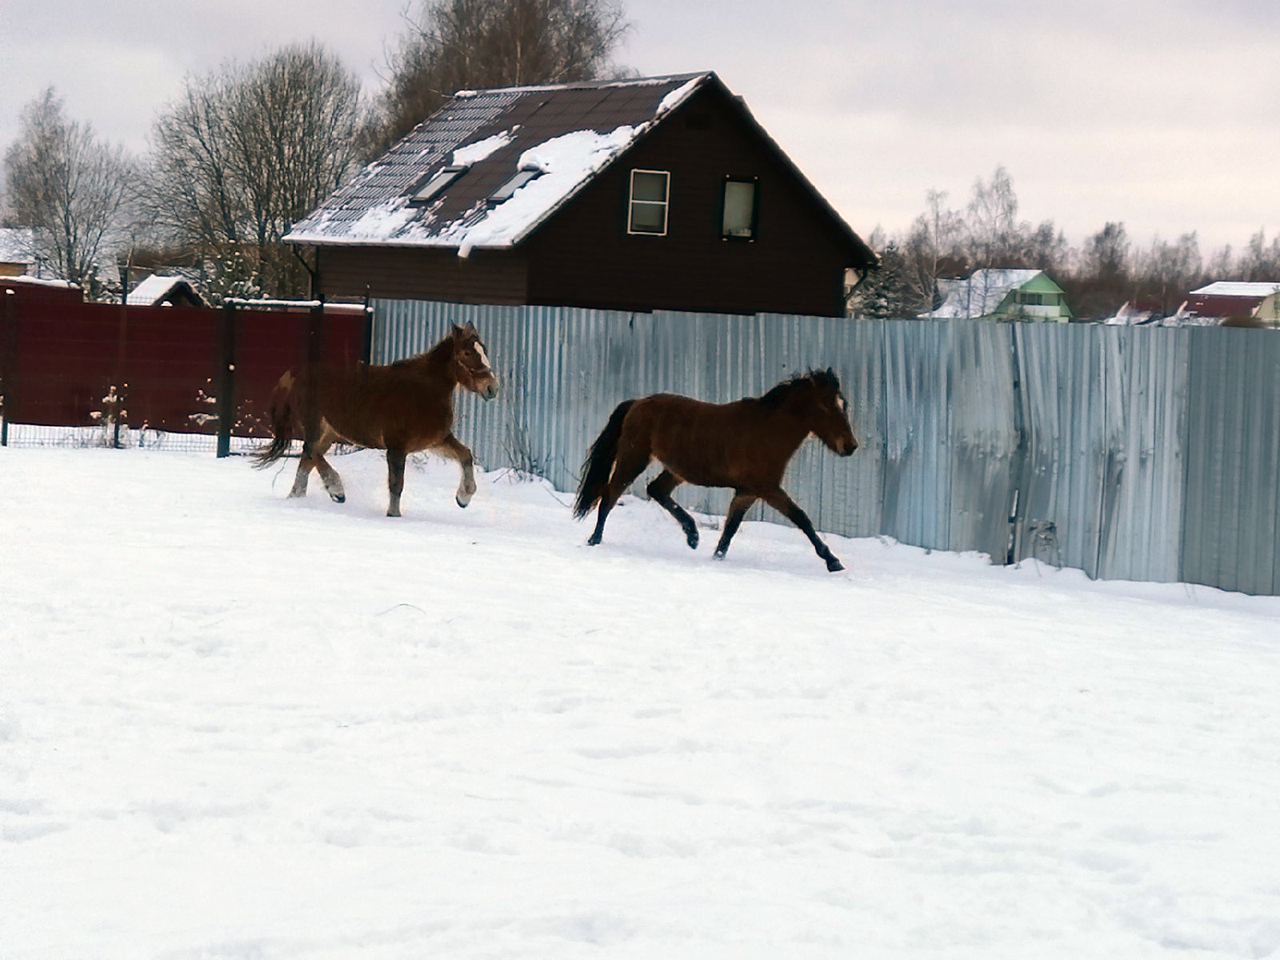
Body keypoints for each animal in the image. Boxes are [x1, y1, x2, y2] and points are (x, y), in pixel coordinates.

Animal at [252, 323, 496, 519]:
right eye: (467, 352)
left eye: (484, 351)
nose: (492, 388)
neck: (424, 391)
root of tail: (298, 373)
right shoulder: (397, 447)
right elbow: (396, 484)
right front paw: (393, 515)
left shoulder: (436, 441)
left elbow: (465, 455)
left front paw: (463, 498)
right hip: (316, 428)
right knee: (311, 453)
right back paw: (336, 490)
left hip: (328, 434)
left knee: (307, 460)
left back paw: (300, 497)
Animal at [573, 371, 855, 570]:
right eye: (825, 406)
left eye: (844, 404)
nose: (850, 446)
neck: (768, 431)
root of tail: (637, 403)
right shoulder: (768, 489)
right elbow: (801, 518)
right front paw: (833, 562)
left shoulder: (747, 492)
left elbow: (730, 530)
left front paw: (716, 558)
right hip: (634, 458)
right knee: (610, 496)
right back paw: (594, 540)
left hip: (676, 470)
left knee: (655, 490)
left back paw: (693, 536)